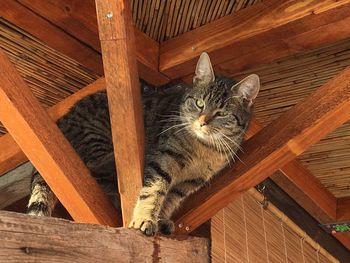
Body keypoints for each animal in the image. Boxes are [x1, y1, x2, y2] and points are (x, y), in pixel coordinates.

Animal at [27, 52, 258, 236]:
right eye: (199, 103)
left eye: (221, 114)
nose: (202, 122)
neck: (205, 149)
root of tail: (62, 120)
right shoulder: (165, 158)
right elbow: (154, 190)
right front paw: (144, 219)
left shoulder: (190, 182)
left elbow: (170, 199)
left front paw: (161, 218)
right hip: (97, 133)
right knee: (97, 165)